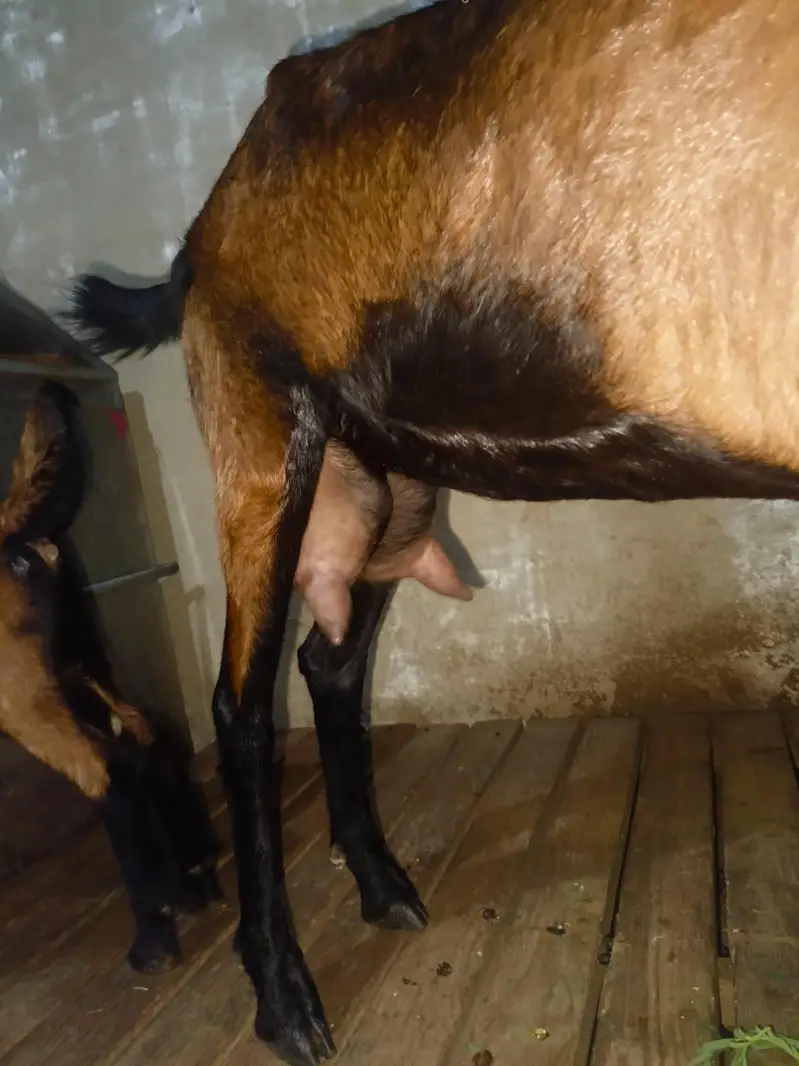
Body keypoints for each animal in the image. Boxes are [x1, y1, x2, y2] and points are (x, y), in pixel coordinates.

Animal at [0, 381, 222, 973]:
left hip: (24, 695)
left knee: (107, 772)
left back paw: (156, 926)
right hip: (78, 664)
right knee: (144, 733)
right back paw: (196, 877)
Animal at [61, 0, 799, 1060]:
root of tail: (199, 235)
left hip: (387, 483)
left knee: (329, 664)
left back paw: (379, 882)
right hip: (258, 440)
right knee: (239, 708)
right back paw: (284, 996)